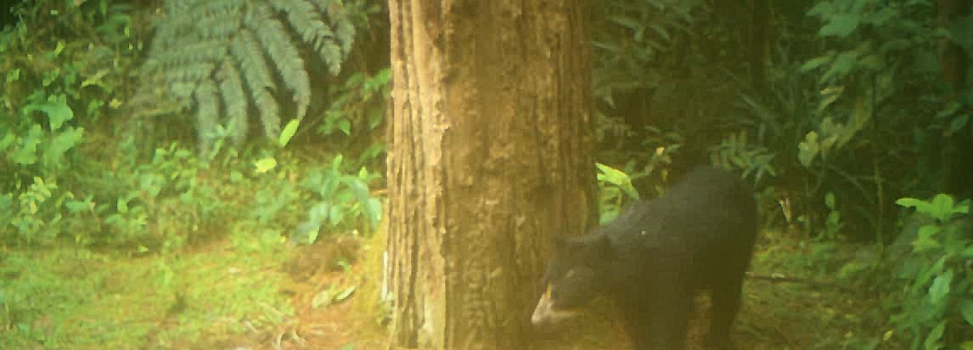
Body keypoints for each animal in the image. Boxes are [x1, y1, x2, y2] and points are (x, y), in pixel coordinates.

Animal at [532, 165, 752, 348]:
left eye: (557, 293)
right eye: (544, 285)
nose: (535, 320)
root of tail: (733, 176)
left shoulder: (668, 272)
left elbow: (670, 320)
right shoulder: (627, 292)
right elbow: (634, 322)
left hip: (736, 247)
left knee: (728, 292)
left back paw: (716, 339)